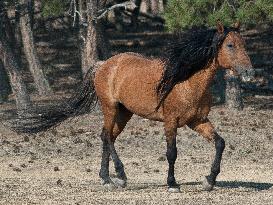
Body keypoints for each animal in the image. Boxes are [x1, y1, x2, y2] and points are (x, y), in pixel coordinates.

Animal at [15, 21, 253, 193]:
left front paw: (209, 180)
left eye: (244, 44)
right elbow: (172, 152)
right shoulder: (171, 122)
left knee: (107, 137)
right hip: (110, 108)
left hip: (124, 113)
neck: (187, 81)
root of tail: (103, 64)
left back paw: (106, 178)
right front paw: (172, 184)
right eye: (230, 45)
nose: (249, 73)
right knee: (107, 136)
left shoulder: (198, 121)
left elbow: (220, 143)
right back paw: (120, 176)